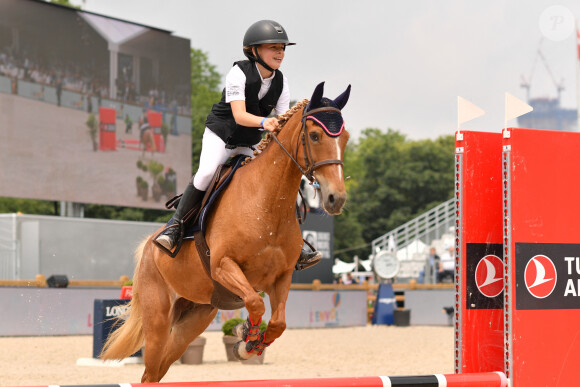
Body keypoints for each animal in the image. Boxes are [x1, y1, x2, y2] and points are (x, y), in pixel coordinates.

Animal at [101, 83, 348, 384]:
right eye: (314, 135)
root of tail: (148, 247)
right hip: (158, 317)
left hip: (194, 319)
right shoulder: (223, 266)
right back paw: (169, 235)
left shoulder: (281, 277)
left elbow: (277, 322)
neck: (266, 203)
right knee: (149, 373)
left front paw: (249, 342)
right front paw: (246, 338)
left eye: (345, 138)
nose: (336, 198)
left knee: (159, 369)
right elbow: (255, 303)